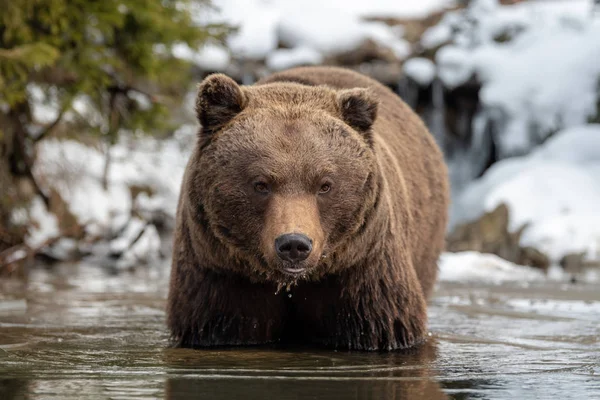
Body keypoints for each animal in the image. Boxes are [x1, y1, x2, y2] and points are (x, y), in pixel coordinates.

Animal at [166, 65, 448, 350]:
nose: (294, 244)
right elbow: (221, 325)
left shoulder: (362, 272)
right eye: (261, 184)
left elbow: (380, 324)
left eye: (325, 185)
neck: (291, 282)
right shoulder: (222, 276)